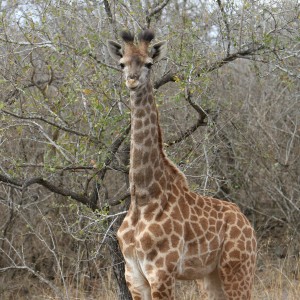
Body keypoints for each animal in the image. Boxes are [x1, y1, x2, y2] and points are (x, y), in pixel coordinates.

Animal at [106, 30, 256, 300]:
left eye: (149, 63)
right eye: (122, 63)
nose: (132, 80)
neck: (143, 198)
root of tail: (247, 224)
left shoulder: (162, 272)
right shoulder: (133, 275)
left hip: (239, 268)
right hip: (209, 275)